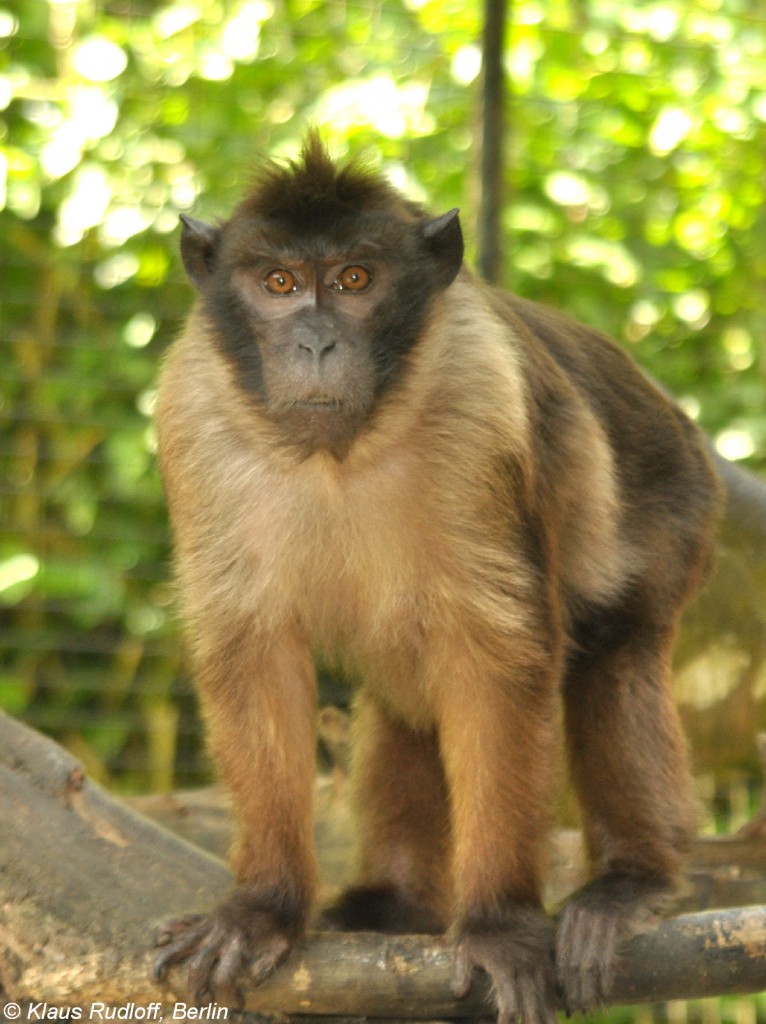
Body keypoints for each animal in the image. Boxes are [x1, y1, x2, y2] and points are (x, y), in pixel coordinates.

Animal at [152, 136, 720, 1024]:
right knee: (405, 700)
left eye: (355, 279)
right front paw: (264, 909)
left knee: (612, 655)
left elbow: (499, 665)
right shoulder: (194, 412)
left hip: (680, 496)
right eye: (279, 284)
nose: (315, 343)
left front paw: (497, 924)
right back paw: (399, 902)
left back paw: (632, 884)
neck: (340, 453)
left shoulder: (483, 404)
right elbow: (256, 659)